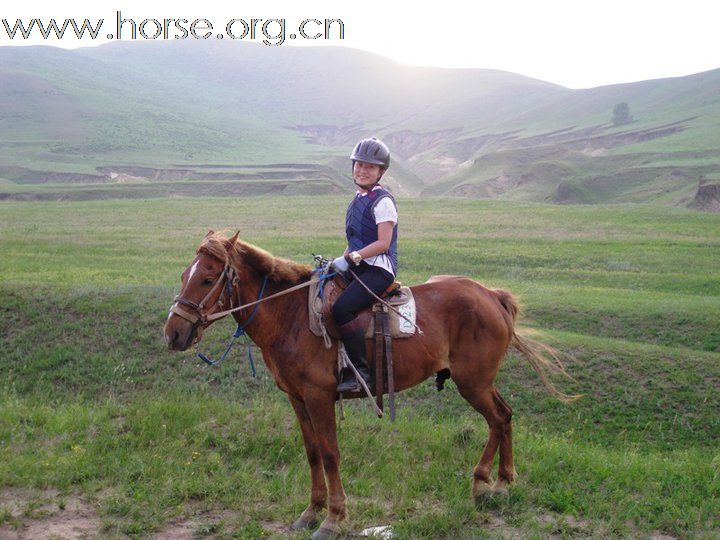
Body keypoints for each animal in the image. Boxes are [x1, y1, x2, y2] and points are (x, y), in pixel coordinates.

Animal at [162, 230, 572, 536]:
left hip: (473, 383)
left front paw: (332, 518)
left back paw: (487, 483)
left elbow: (330, 453)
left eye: (207, 278)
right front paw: (311, 511)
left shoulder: (319, 397)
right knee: (505, 415)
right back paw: (500, 481)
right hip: (481, 382)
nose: (173, 333)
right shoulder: (297, 398)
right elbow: (312, 452)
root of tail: (491, 295)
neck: (290, 315)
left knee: (498, 418)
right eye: (183, 275)